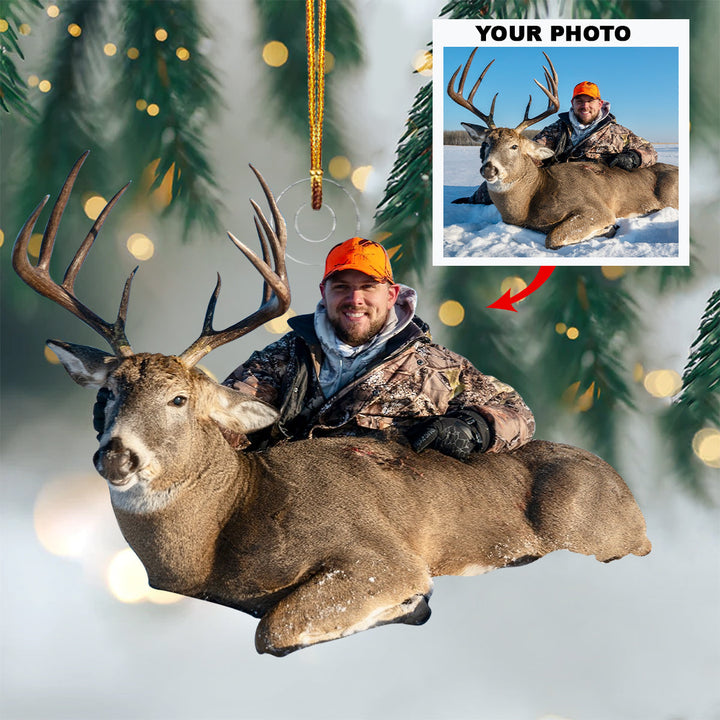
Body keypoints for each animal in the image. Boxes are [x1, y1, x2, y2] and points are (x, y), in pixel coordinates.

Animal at [13, 153, 651, 657]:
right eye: (107, 393)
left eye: (179, 398)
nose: (116, 457)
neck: (217, 536)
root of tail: (633, 499)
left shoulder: (381, 556)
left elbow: (272, 629)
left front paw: (412, 605)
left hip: (584, 529)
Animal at [447, 49, 679, 250]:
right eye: (485, 144)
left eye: (514, 146)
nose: (489, 169)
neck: (529, 202)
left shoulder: (595, 209)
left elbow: (553, 237)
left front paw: (608, 229)